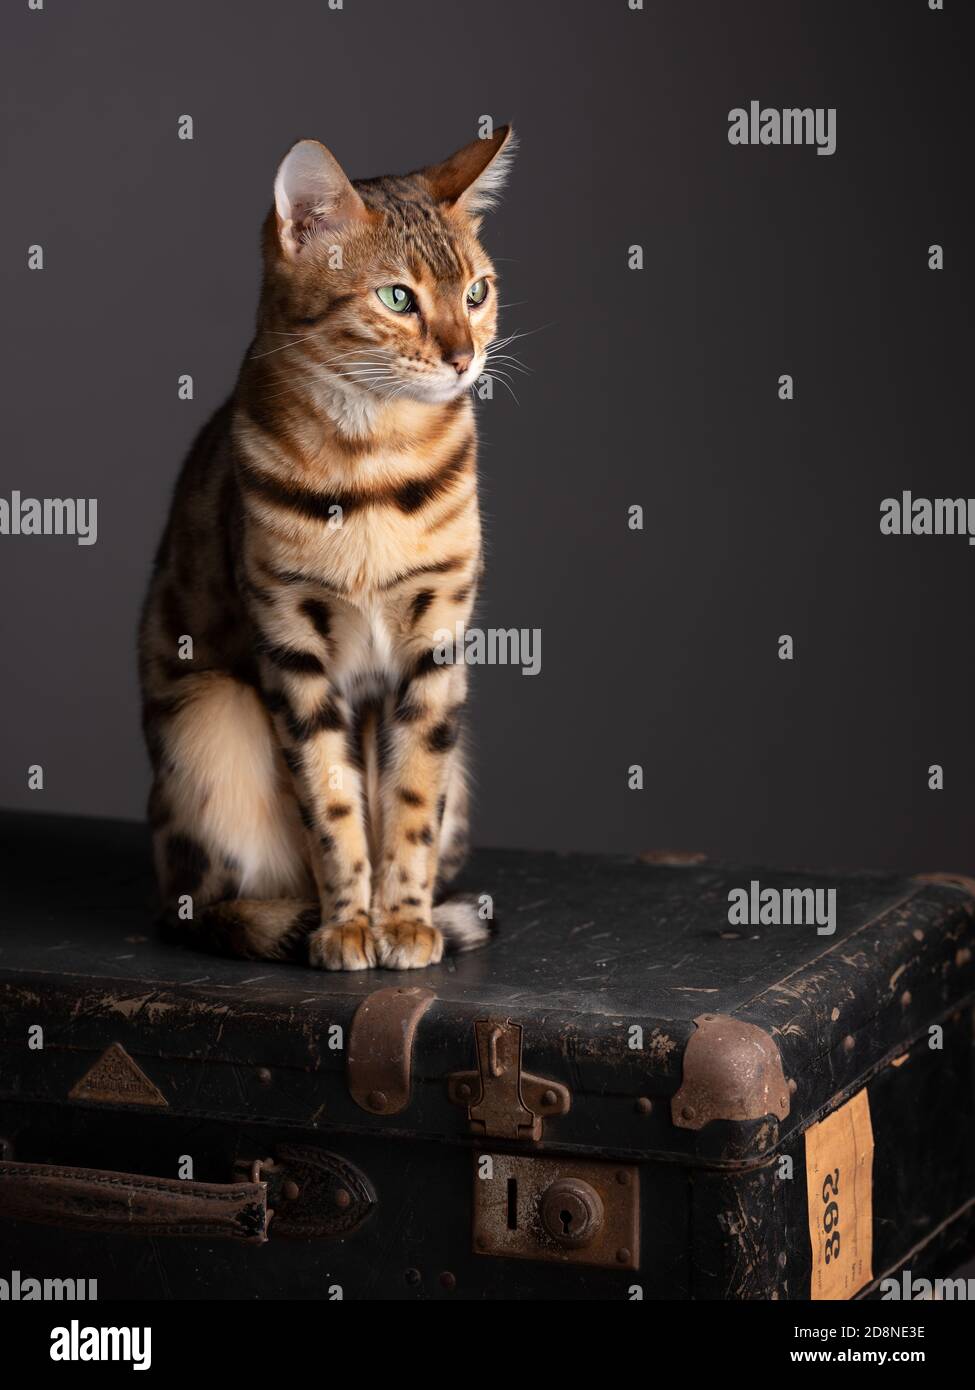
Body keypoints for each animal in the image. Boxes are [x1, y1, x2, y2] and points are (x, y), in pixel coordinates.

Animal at [140, 132, 517, 978]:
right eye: (397, 298)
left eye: (477, 291)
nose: (463, 357)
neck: (376, 465)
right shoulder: (292, 646)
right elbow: (330, 801)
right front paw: (347, 924)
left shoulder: (434, 645)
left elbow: (408, 801)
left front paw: (401, 920)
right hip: (210, 721)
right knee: (203, 904)